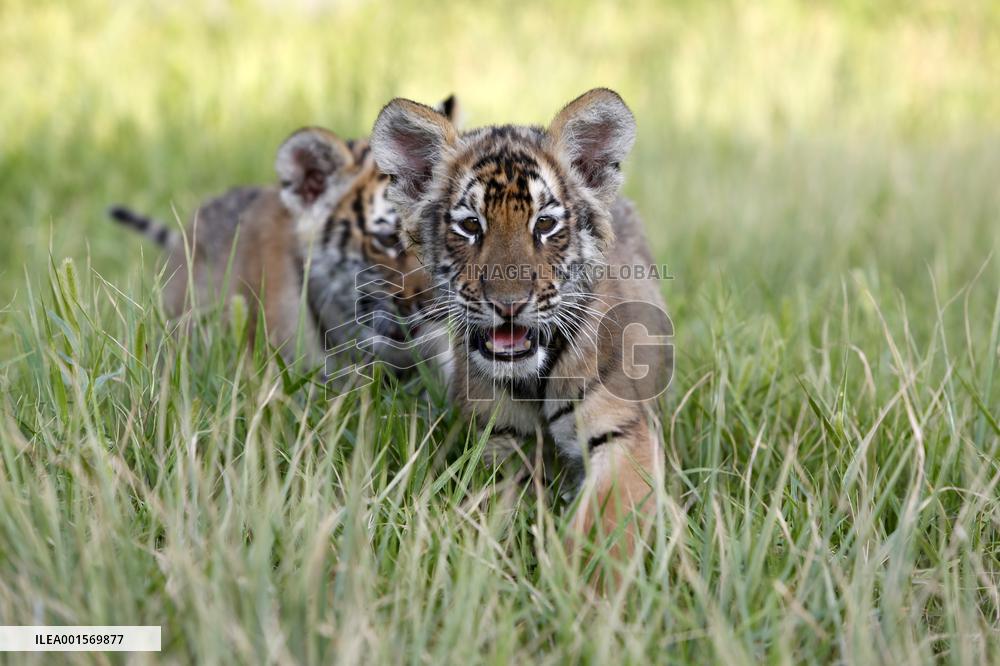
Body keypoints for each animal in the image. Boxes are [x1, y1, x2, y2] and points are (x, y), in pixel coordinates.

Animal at [370, 88, 673, 564]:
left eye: (544, 224)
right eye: (471, 225)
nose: (508, 305)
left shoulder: (623, 436)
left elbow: (599, 530)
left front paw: (576, 580)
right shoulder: (500, 444)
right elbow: (487, 513)